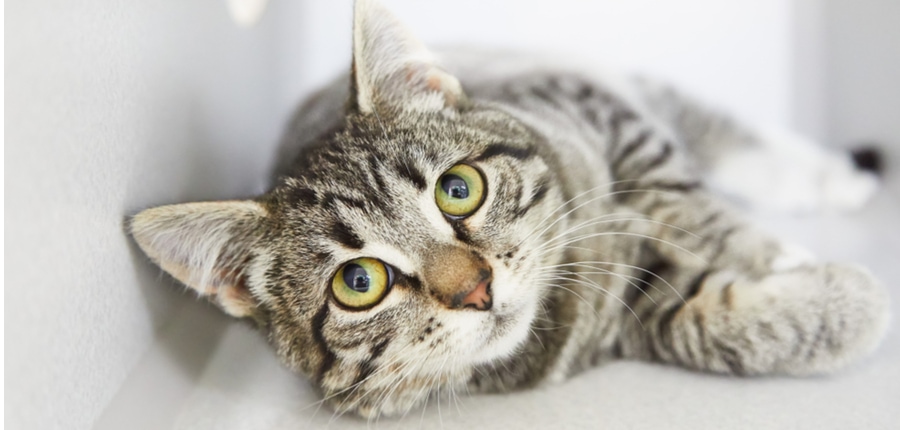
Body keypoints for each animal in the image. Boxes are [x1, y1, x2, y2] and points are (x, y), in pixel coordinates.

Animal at [130, 0, 888, 418]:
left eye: (457, 189)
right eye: (358, 282)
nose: (476, 289)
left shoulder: (610, 118)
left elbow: (680, 200)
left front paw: (773, 254)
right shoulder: (635, 313)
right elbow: (708, 327)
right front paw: (849, 301)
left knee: (719, 133)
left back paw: (833, 178)